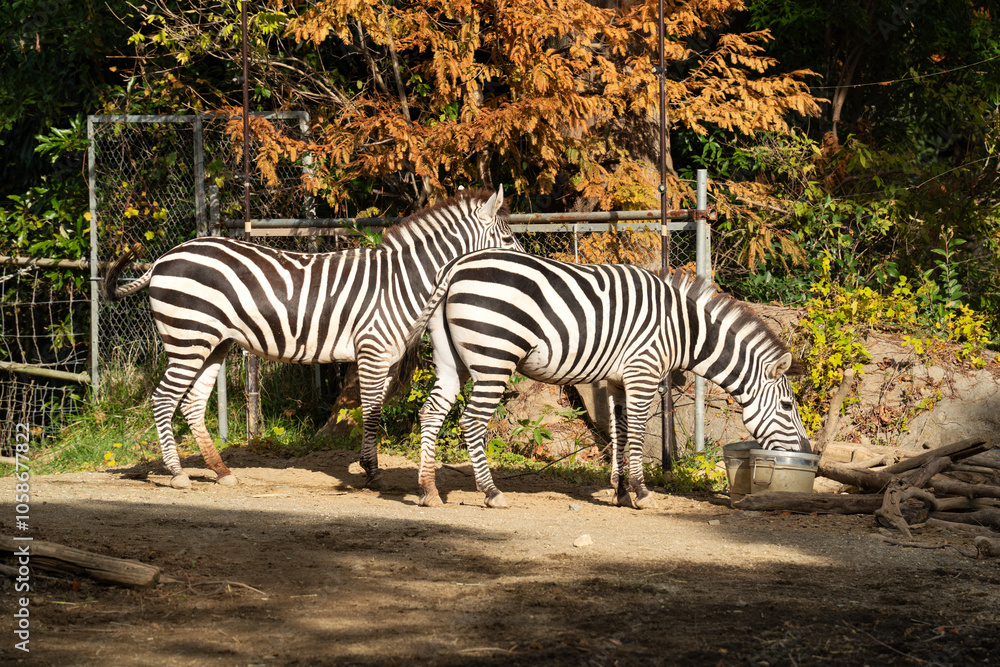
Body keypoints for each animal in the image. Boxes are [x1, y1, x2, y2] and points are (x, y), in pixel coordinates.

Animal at [101, 188, 524, 490]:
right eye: (508, 240)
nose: (527, 263)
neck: (402, 281)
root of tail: (163, 259)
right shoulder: (372, 350)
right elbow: (371, 413)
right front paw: (372, 473)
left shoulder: (385, 357)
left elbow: (374, 410)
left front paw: (368, 467)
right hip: (188, 339)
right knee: (163, 399)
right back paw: (177, 473)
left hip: (214, 344)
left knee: (190, 403)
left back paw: (221, 471)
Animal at [414, 252, 812, 512]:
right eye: (788, 406)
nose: (806, 452)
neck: (684, 330)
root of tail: (456, 267)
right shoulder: (643, 373)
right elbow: (636, 433)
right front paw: (642, 492)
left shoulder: (617, 381)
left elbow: (619, 433)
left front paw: (620, 492)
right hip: (494, 356)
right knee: (471, 422)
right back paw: (491, 492)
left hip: (451, 360)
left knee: (431, 412)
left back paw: (429, 490)